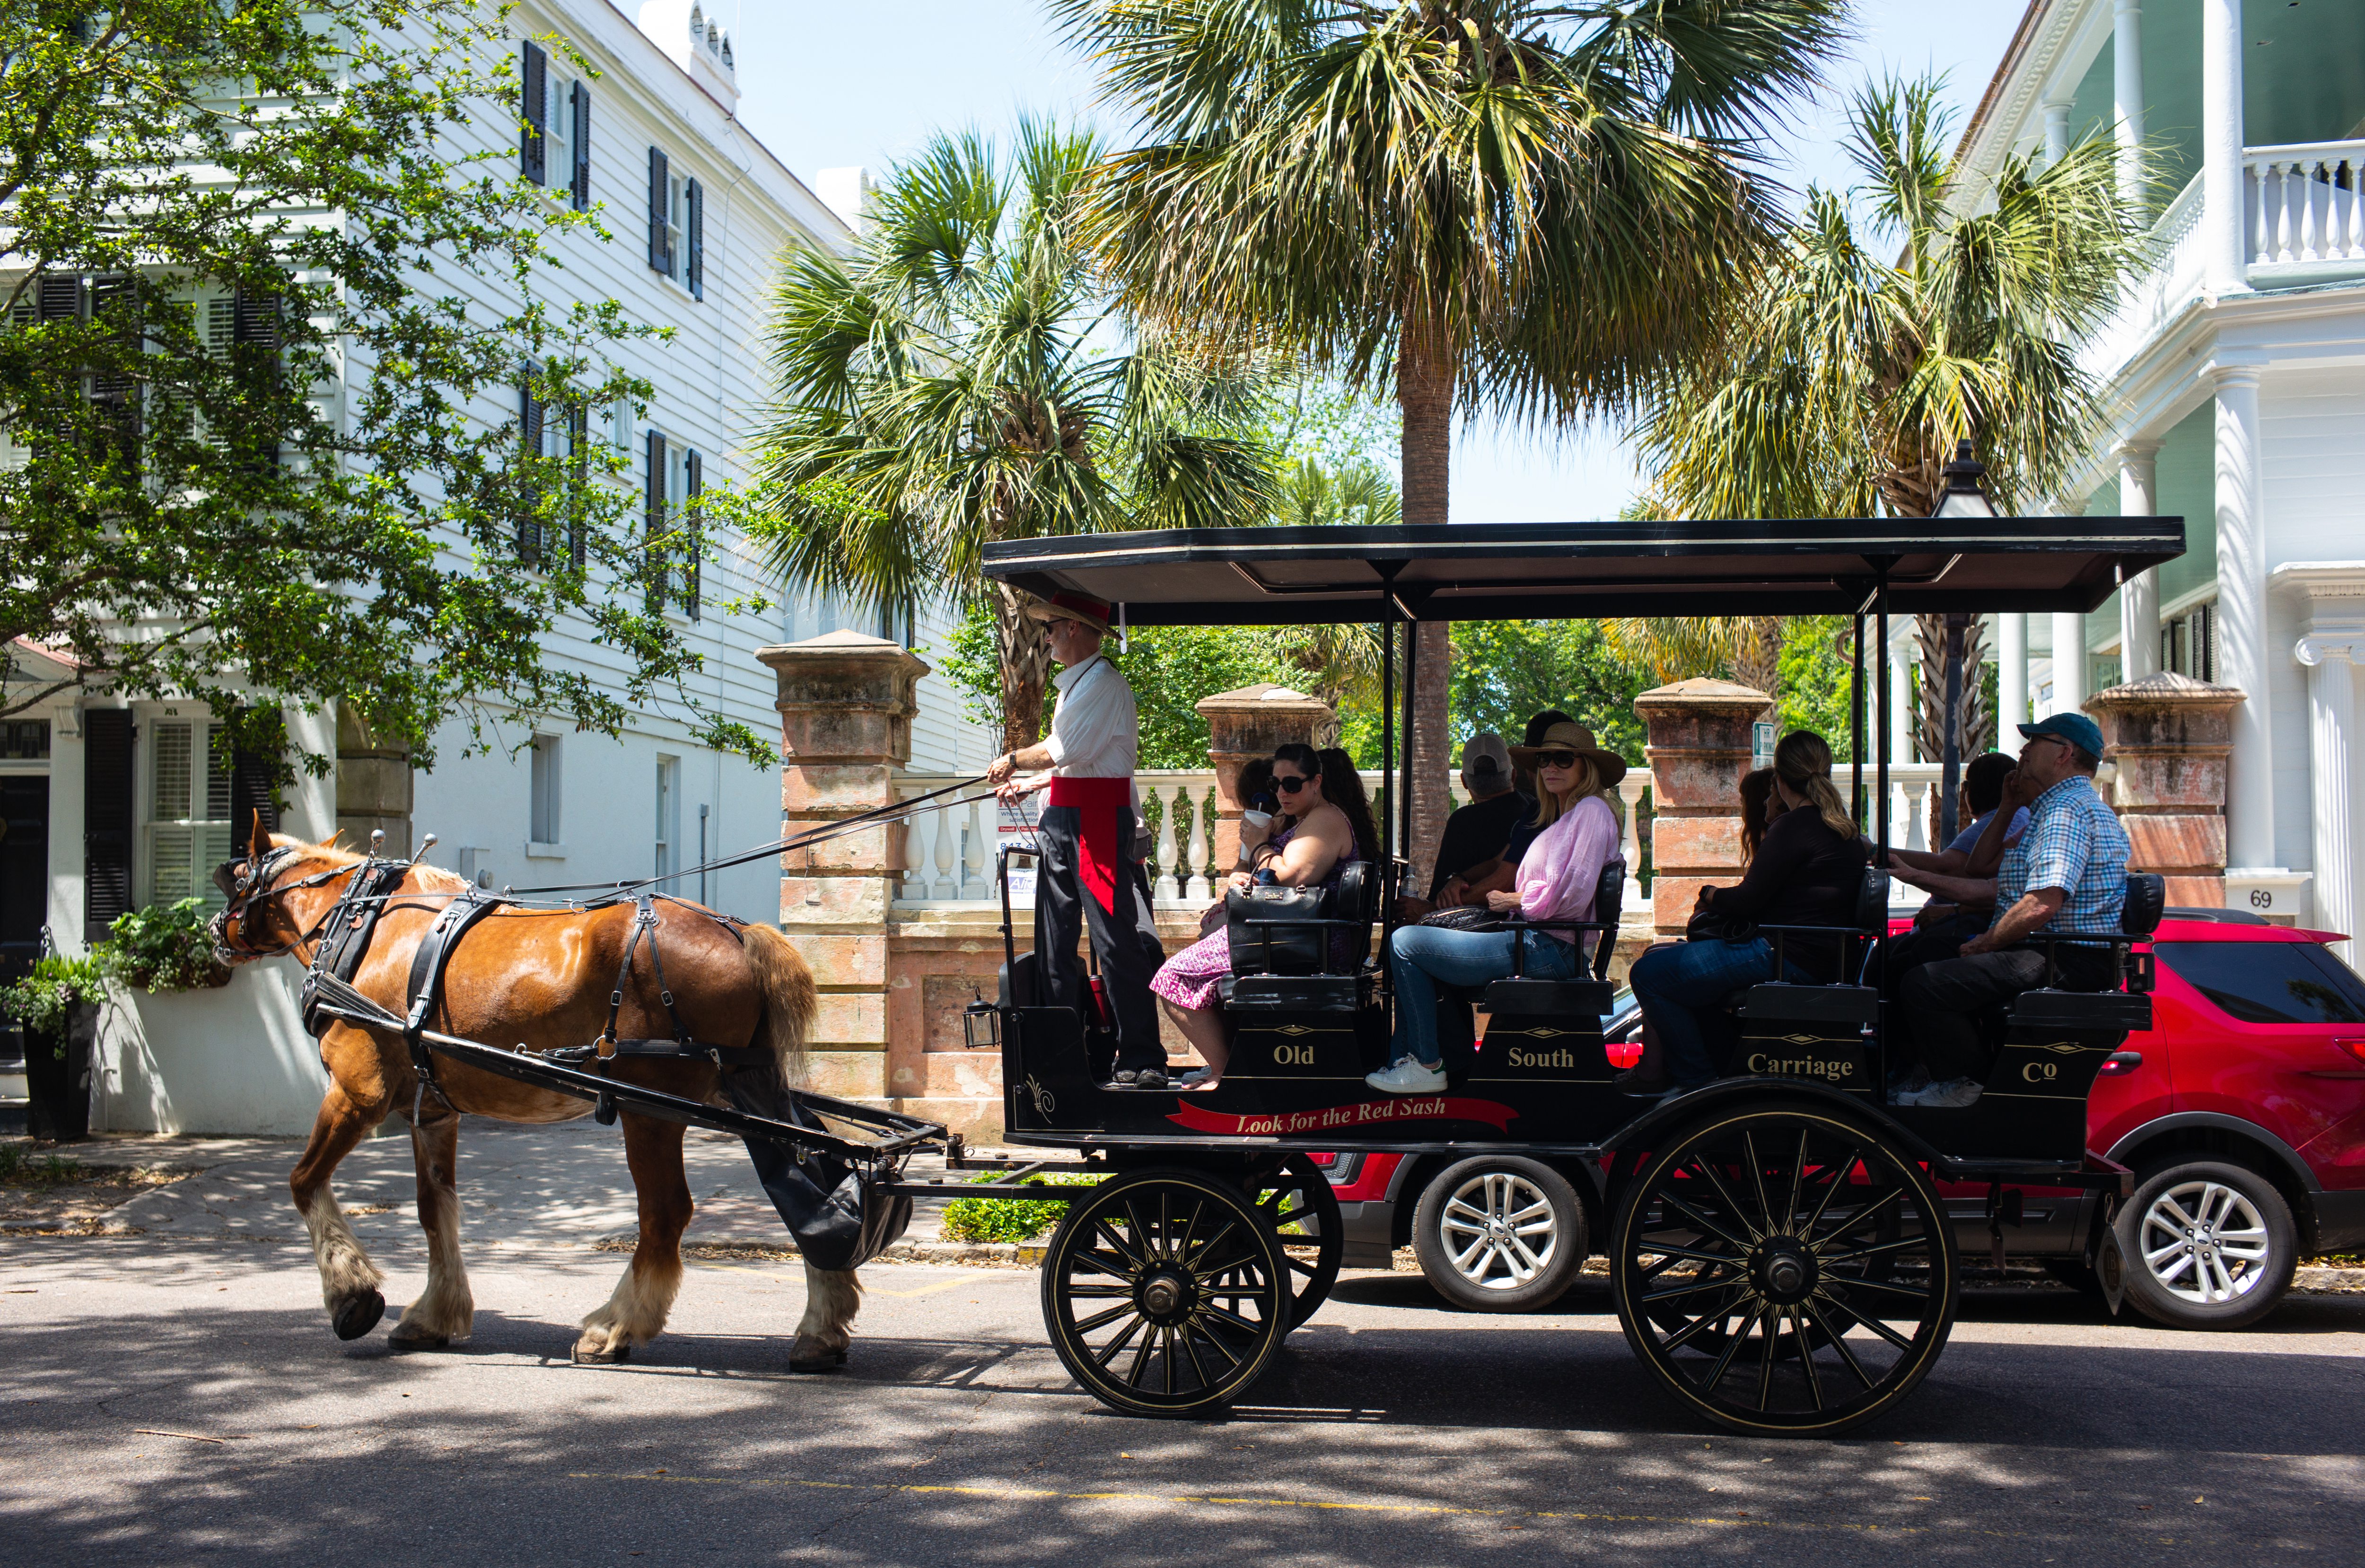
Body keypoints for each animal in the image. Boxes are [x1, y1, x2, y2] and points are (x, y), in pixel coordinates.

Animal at [210, 823, 861, 1371]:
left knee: (667, 1213)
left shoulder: (356, 1092)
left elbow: (304, 1181)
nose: (213, 931)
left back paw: (614, 1327)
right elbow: (433, 1208)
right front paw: (434, 1314)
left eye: (236, 875)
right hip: (747, 1089)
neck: (363, 926)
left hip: (650, 1110)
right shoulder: (433, 1110)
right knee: (811, 1188)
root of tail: (740, 931)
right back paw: (821, 1326)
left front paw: (352, 1296)